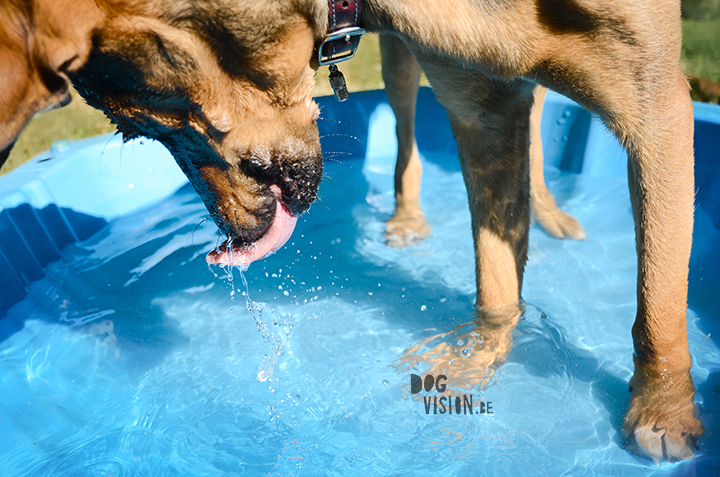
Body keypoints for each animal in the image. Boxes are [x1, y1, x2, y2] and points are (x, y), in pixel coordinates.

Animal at [0, 0, 704, 462]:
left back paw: (554, 213)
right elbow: (496, 282)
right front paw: (478, 359)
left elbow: (659, 294)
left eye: (140, 129)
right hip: (408, 68)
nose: (228, 237)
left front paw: (663, 407)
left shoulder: (656, 104)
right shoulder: (481, 109)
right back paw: (409, 217)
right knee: (408, 136)